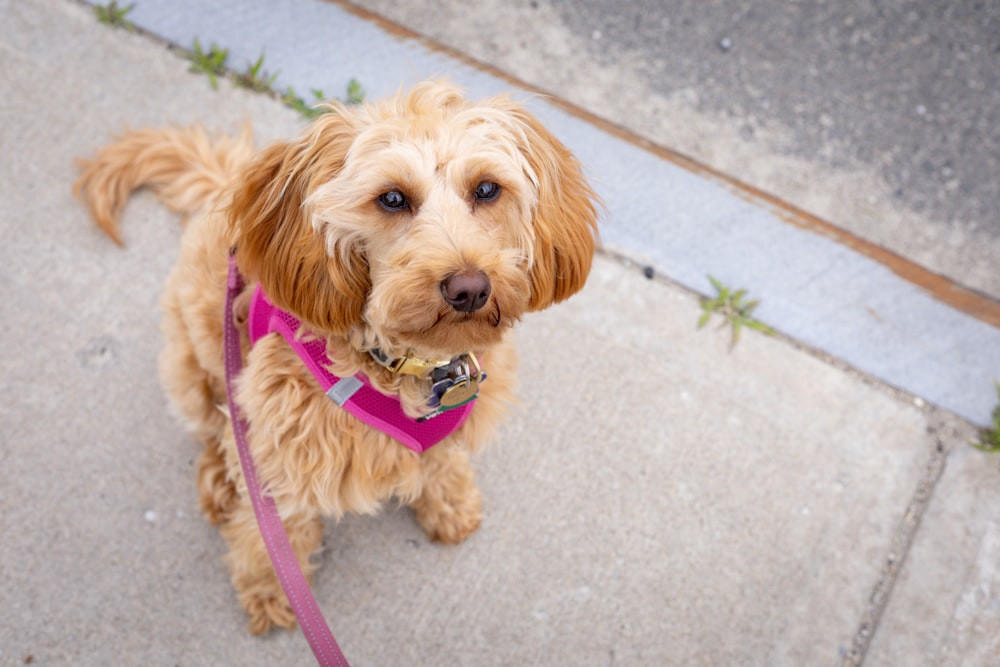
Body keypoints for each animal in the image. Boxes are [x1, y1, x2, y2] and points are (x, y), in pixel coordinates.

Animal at [76, 81, 600, 636]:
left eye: (486, 190)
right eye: (391, 198)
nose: (470, 288)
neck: (404, 365)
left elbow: (442, 462)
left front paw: (450, 503)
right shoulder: (280, 461)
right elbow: (273, 535)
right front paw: (269, 590)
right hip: (192, 369)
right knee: (215, 429)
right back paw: (219, 478)